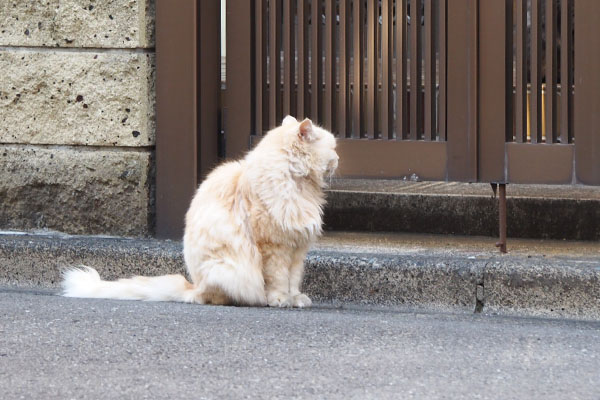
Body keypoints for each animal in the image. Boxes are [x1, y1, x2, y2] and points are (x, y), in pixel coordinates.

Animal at [64, 117, 342, 308]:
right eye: (333, 149)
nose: (339, 159)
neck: (298, 184)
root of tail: (193, 286)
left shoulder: (297, 249)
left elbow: (293, 280)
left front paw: (296, 299)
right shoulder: (275, 248)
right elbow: (278, 280)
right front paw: (280, 300)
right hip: (226, 269)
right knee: (218, 297)